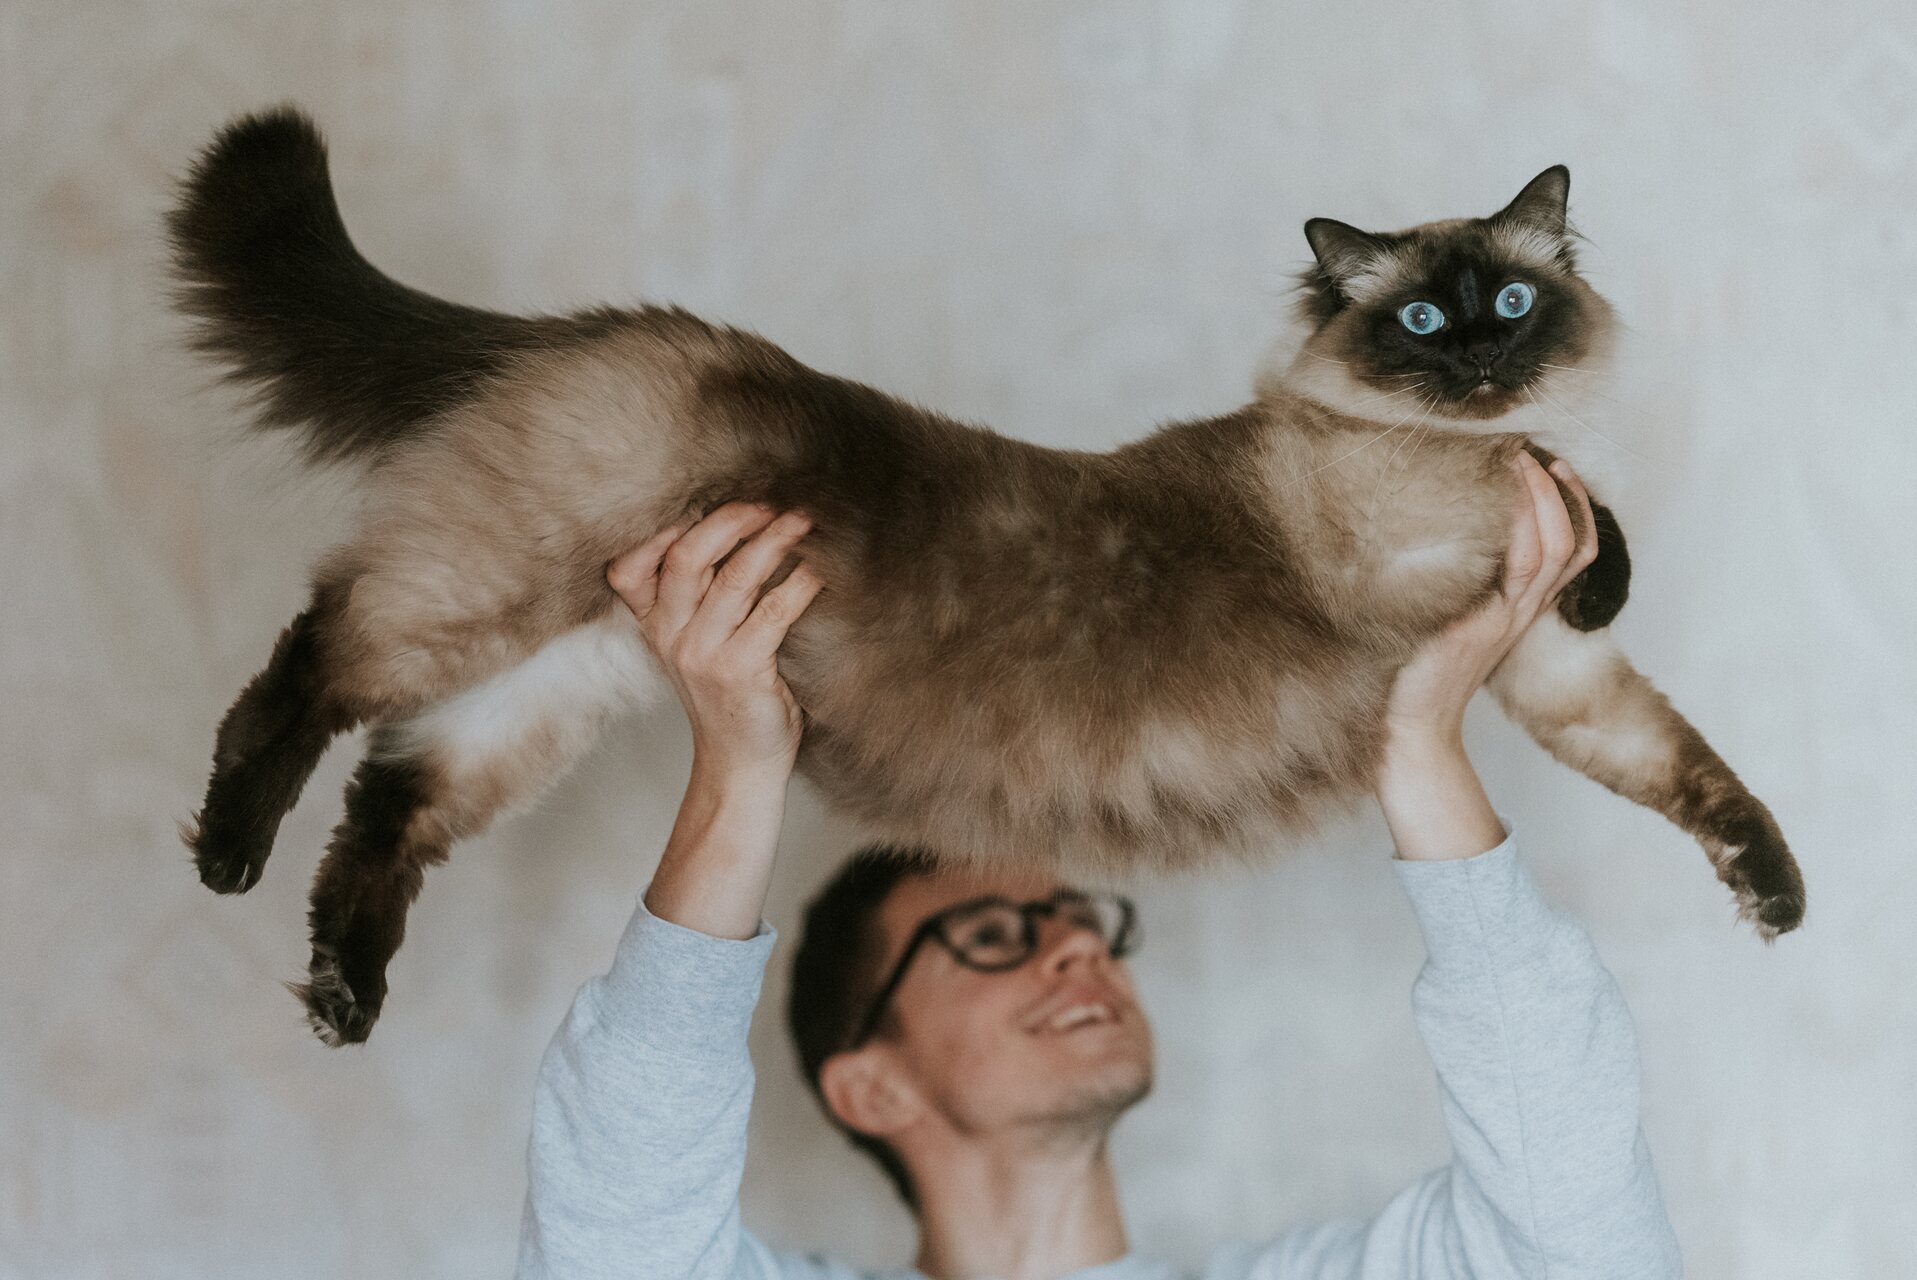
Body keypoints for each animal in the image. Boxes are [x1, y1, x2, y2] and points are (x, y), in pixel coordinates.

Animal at [172, 107, 1801, 1050]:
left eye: (1515, 299)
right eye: (1419, 321)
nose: (1478, 362)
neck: (1471, 440)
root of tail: (608, 328)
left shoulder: (1546, 673)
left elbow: (1687, 766)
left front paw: (1773, 902)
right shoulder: (1443, 539)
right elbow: (1583, 510)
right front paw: (1597, 549)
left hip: (561, 676)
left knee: (392, 798)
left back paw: (341, 995)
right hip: (487, 591)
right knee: (315, 660)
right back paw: (226, 854)